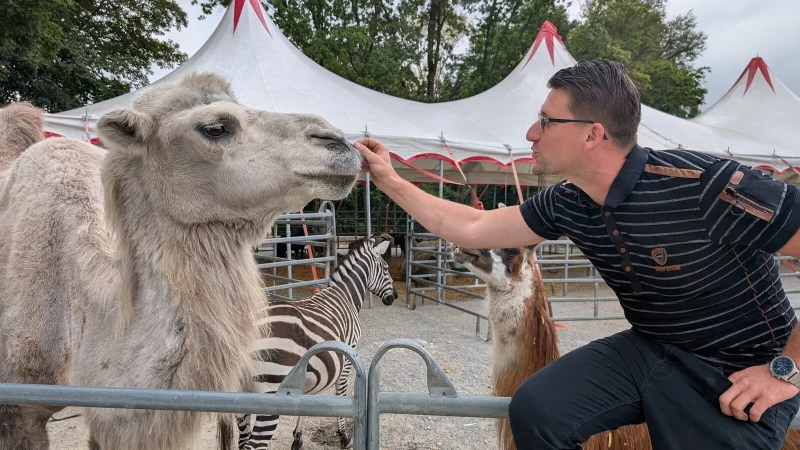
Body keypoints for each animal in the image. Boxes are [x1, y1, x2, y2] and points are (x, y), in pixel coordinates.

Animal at [219, 233, 398, 450]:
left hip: (240, 395)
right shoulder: (348, 354)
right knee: (254, 444)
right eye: (386, 269)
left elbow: (306, 398)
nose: (395, 297)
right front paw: (343, 436)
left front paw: (297, 438)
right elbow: (341, 392)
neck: (345, 295)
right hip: (270, 394)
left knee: (243, 441)